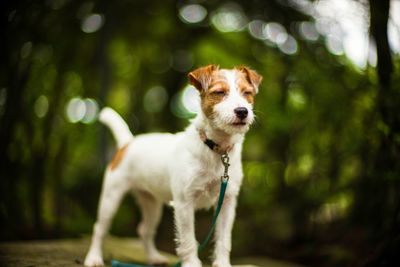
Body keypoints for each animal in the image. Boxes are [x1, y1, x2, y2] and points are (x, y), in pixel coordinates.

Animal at [84, 65, 262, 267]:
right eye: (219, 92)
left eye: (247, 93)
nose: (242, 111)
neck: (216, 149)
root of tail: (127, 143)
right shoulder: (184, 203)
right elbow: (188, 239)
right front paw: (192, 263)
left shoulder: (227, 203)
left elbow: (224, 239)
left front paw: (222, 263)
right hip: (111, 197)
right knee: (100, 228)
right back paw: (94, 258)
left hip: (151, 203)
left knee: (144, 230)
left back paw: (154, 257)